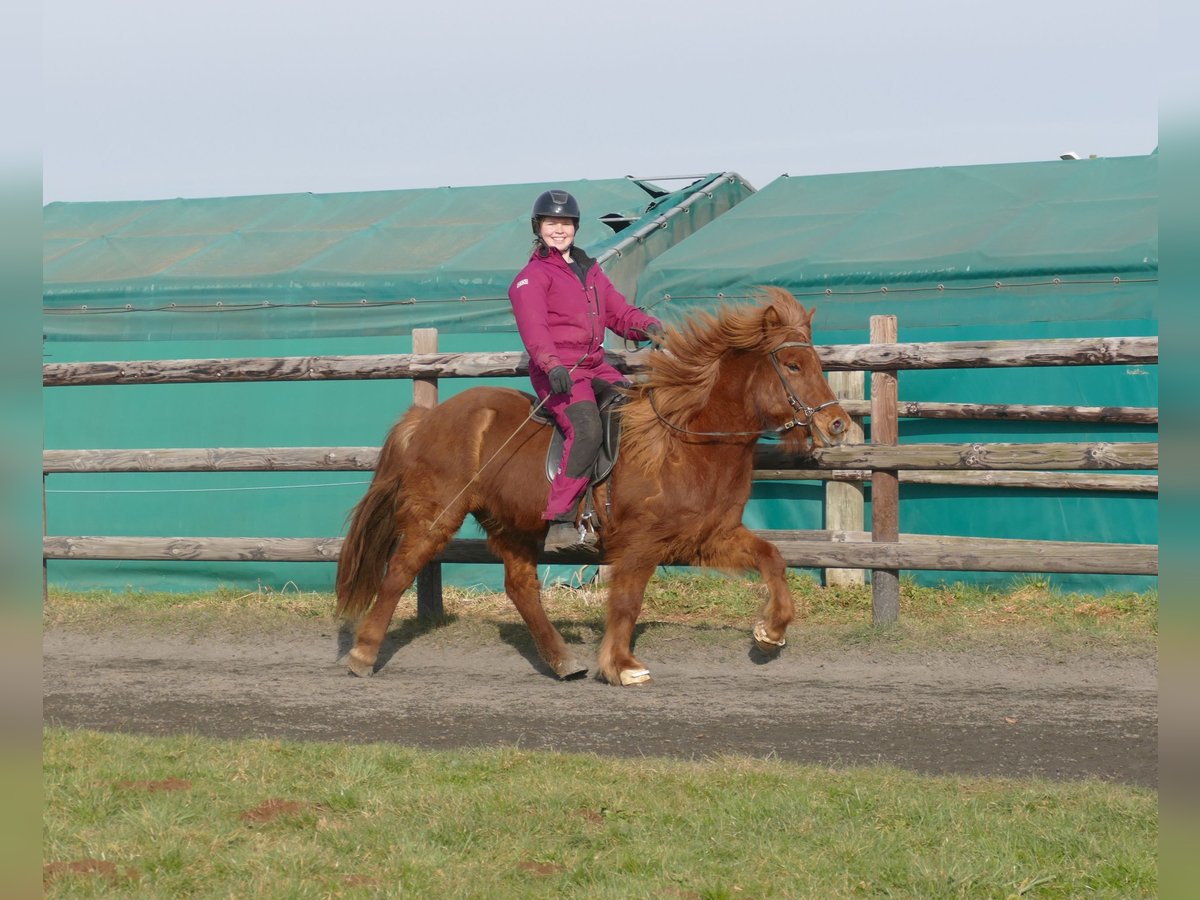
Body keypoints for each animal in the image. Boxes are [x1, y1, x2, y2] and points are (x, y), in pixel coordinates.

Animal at [333, 289, 849, 681]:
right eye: (794, 365)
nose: (839, 424)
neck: (684, 439)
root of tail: (428, 417)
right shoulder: (640, 543)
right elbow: (626, 602)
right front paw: (622, 666)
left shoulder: (710, 536)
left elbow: (773, 559)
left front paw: (771, 633)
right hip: (438, 514)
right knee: (400, 571)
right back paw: (362, 654)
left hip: (512, 524)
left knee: (521, 587)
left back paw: (562, 661)